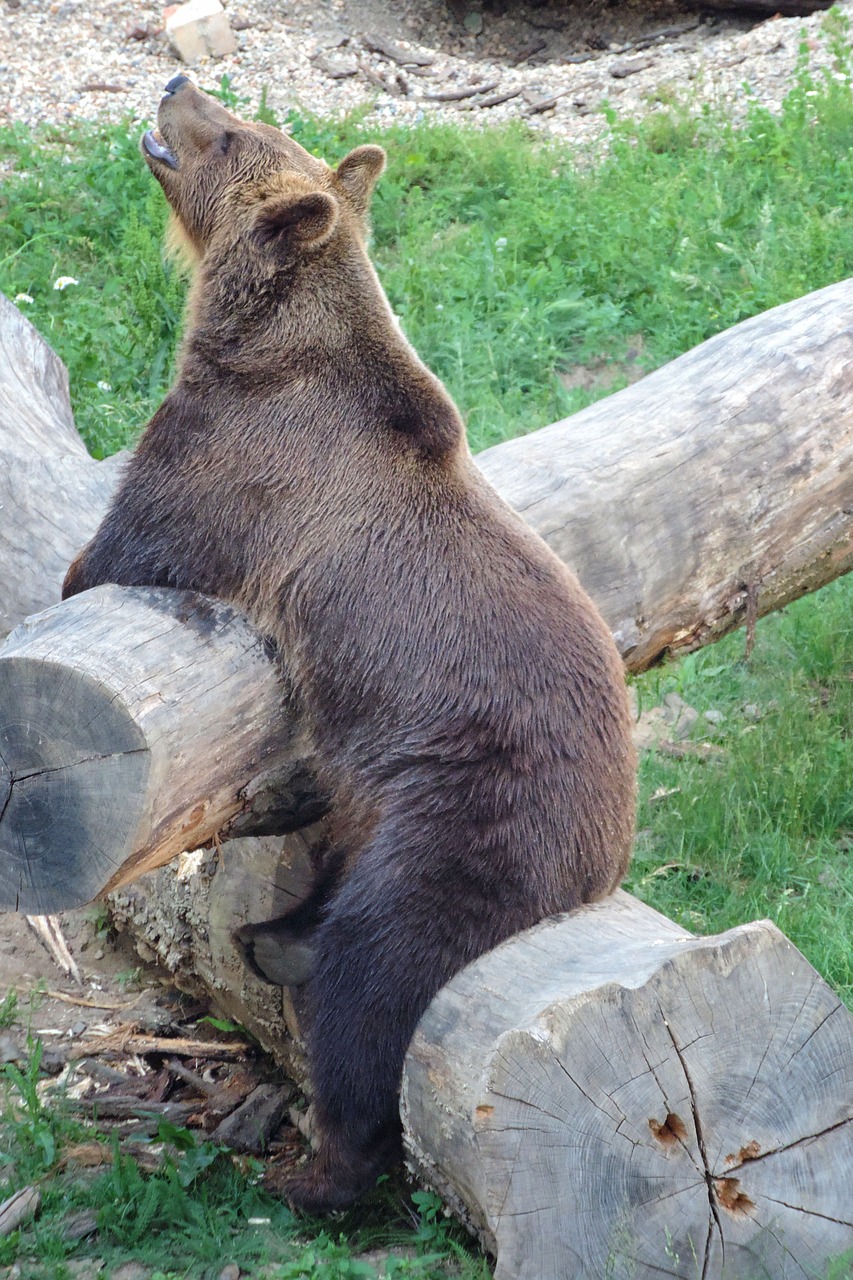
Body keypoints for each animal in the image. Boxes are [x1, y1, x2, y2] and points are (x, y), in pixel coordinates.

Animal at [63, 74, 635, 1213]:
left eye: (227, 132)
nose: (176, 82)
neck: (261, 339)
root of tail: (606, 850)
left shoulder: (228, 461)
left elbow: (118, 550)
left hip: (468, 805)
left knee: (378, 966)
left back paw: (314, 1170)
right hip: (368, 798)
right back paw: (272, 939)